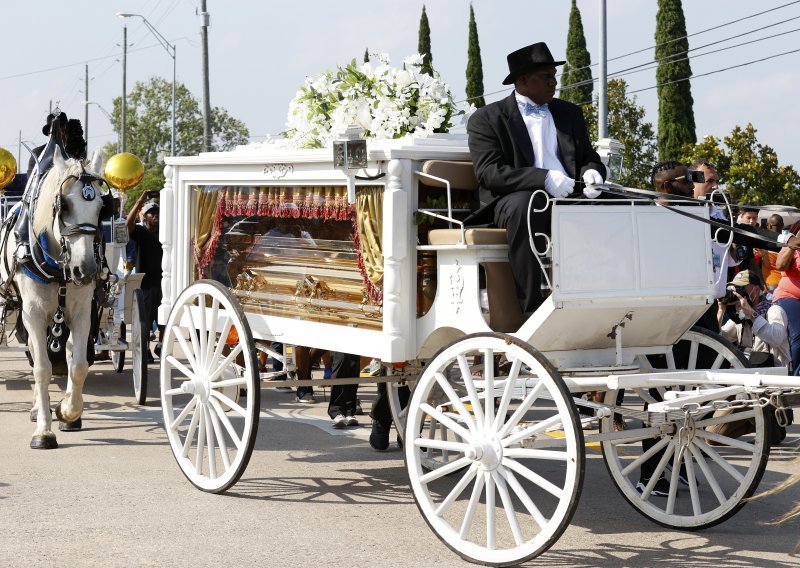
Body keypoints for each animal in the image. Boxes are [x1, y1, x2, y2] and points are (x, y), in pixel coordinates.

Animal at [2, 150, 108, 448]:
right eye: (65, 206)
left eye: (101, 208)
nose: (87, 270)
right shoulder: (33, 314)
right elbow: (41, 368)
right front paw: (44, 430)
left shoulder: (83, 312)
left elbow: (79, 365)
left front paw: (67, 412)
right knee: (37, 356)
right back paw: (38, 409)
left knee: (68, 353)